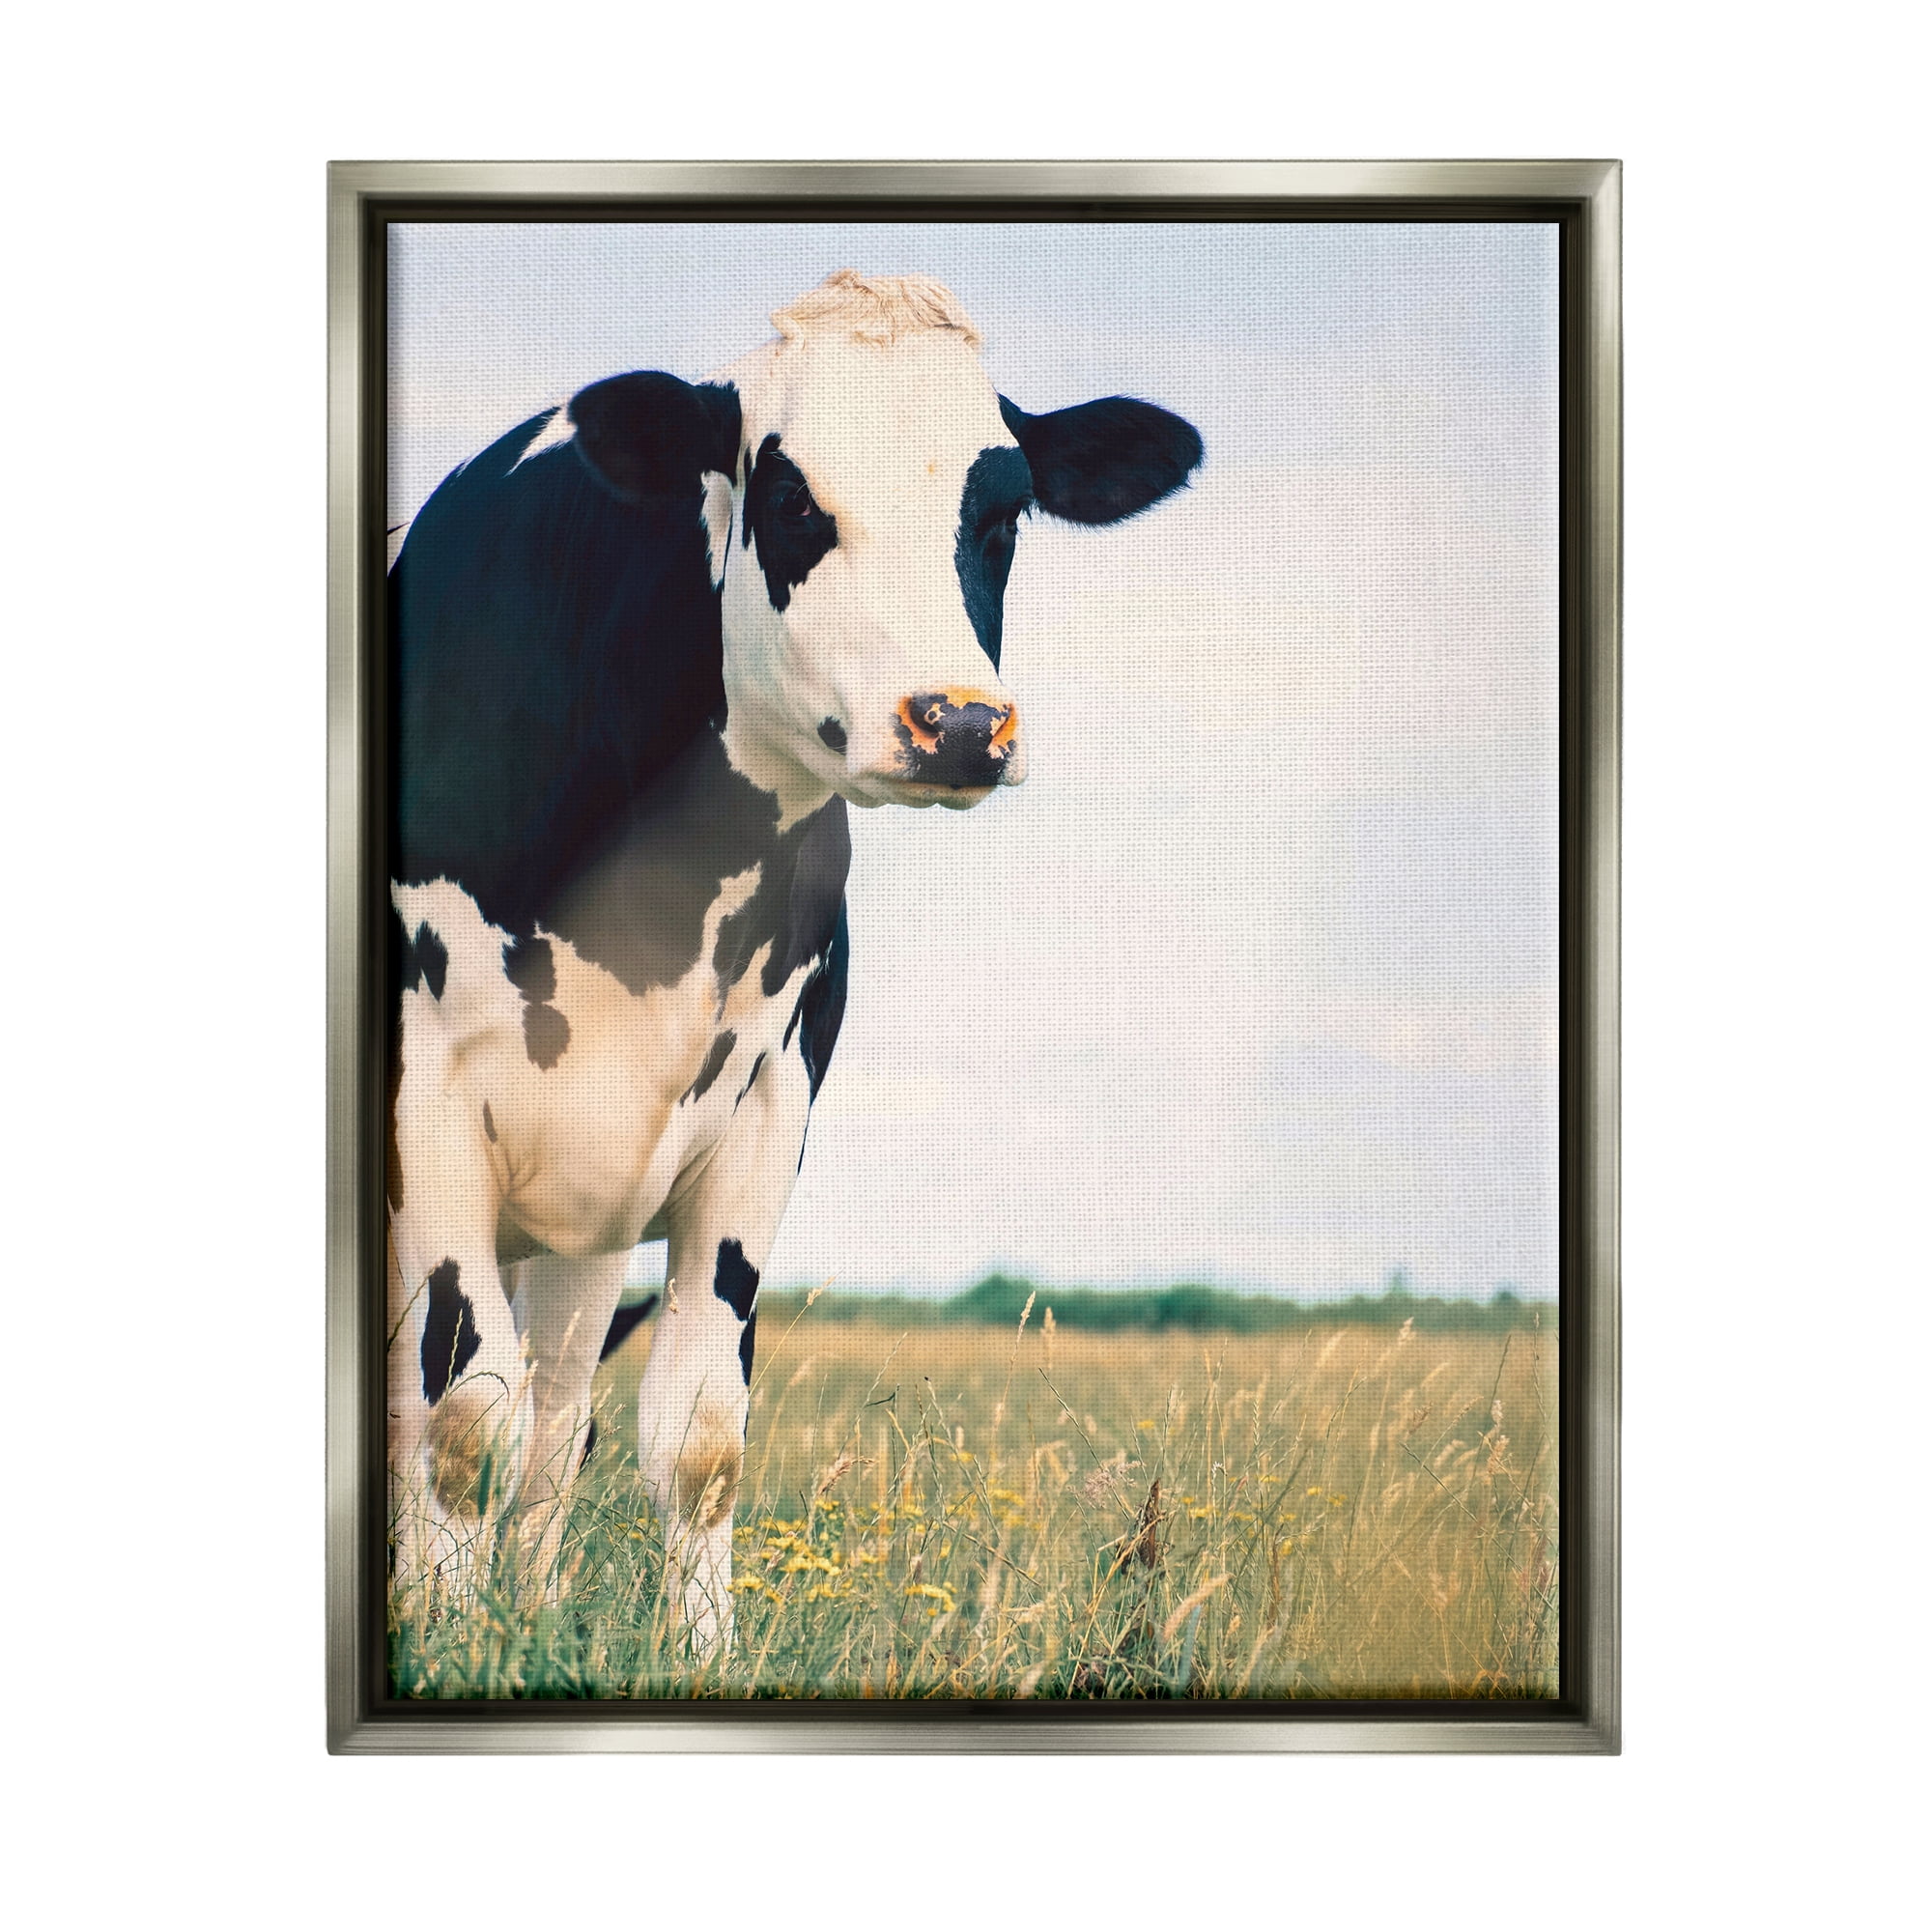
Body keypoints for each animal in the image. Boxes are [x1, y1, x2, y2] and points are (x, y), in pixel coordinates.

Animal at [387, 269, 1202, 1648]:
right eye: (789, 500)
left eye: (1003, 511)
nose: (961, 722)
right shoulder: (427, 1089)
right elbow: (457, 1413)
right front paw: (441, 1645)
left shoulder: (765, 1101)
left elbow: (692, 1431)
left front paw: (689, 1649)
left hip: (581, 1222)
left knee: (560, 1413)